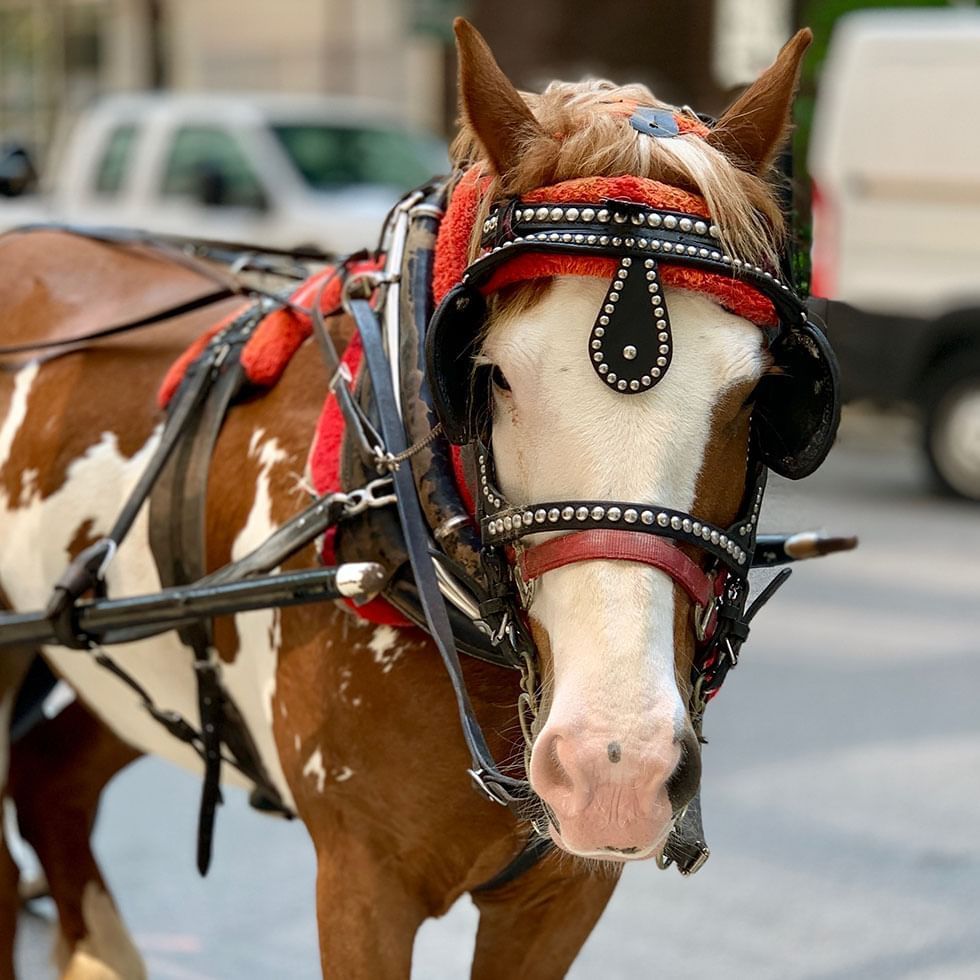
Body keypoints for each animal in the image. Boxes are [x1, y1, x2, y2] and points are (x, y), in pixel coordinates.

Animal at [0, 17, 828, 980]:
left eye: (757, 394)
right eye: (494, 375)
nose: (614, 765)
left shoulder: (561, 898)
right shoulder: (363, 885)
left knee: (49, 780)